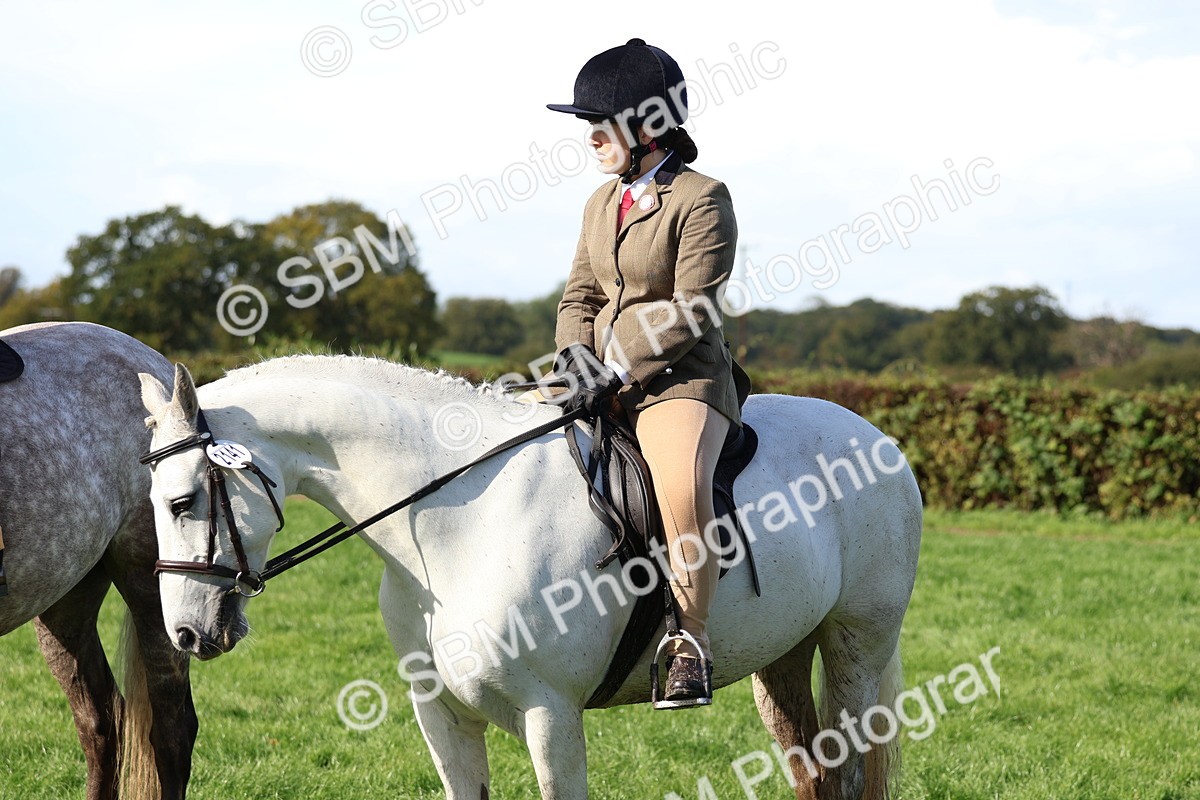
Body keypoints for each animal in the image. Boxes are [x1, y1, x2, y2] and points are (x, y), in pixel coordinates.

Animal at [138, 355, 922, 800]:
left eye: (182, 503)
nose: (187, 633)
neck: (456, 523)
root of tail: (878, 439)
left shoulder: (551, 715)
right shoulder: (441, 714)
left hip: (856, 646)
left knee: (850, 769)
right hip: (783, 656)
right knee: (813, 770)